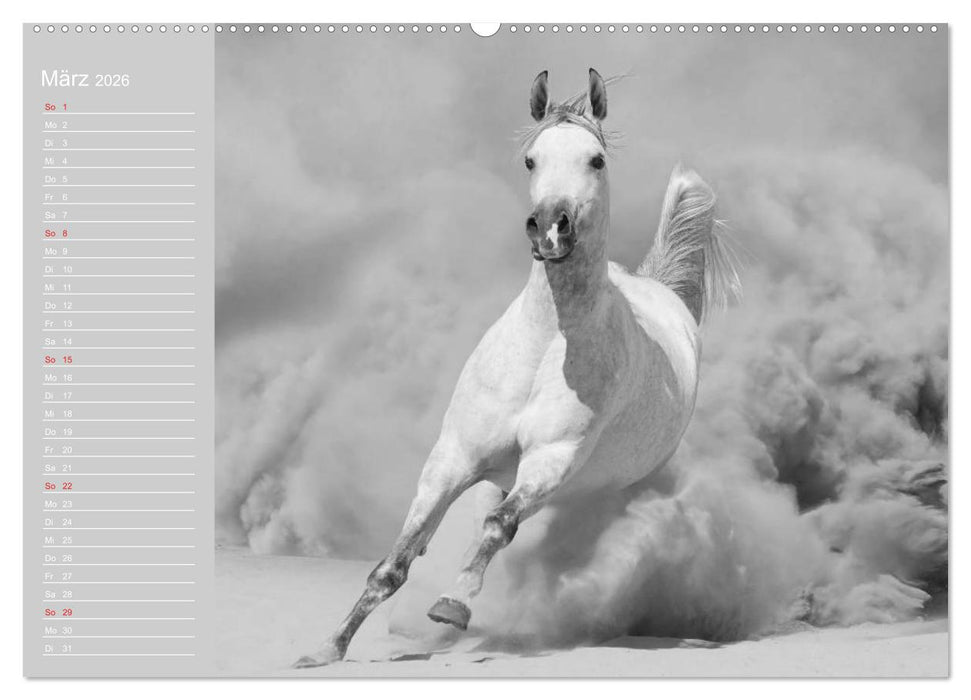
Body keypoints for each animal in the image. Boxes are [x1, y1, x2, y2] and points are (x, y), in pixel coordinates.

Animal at [294, 68, 740, 668]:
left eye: (596, 159)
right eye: (531, 159)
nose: (550, 227)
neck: (544, 349)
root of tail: (662, 290)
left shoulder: (551, 460)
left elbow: (498, 526)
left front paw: (453, 603)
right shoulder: (452, 459)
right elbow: (396, 561)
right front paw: (327, 648)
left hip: (604, 485)